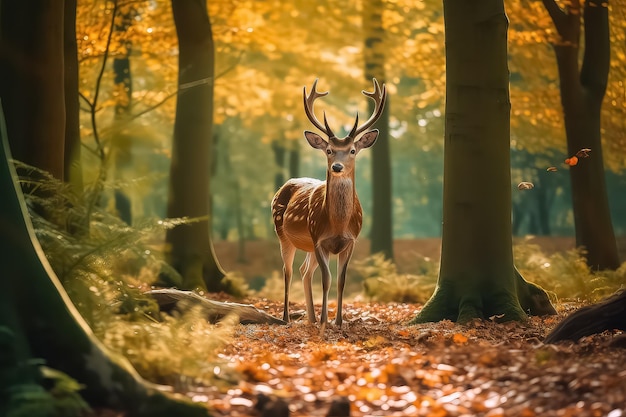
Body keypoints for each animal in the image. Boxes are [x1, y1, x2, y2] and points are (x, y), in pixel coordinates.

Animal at [272, 78, 386, 330]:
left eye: (352, 150)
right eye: (329, 150)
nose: (337, 167)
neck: (339, 225)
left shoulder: (351, 241)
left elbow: (341, 279)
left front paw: (338, 321)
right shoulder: (318, 239)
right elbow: (327, 279)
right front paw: (326, 320)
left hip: (307, 245)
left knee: (304, 271)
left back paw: (311, 318)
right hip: (282, 233)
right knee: (287, 271)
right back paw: (287, 318)